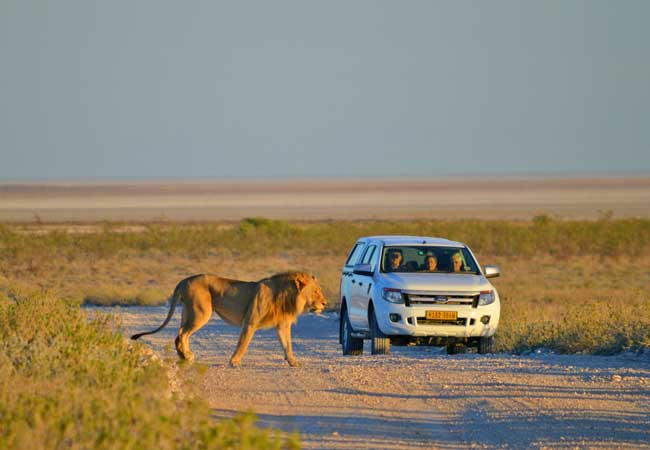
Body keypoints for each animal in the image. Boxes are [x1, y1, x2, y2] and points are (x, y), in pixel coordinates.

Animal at [130, 270, 326, 366]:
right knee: (182, 334)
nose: (325, 303)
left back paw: (184, 355)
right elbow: (243, 343)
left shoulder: (282, 325)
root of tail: (183, 281)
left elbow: (288, 345)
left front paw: (293, 362)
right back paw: (186, 356)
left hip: (189, 312)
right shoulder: (250, 321)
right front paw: (234, 362)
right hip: (201, 312)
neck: (287, 296)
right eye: (316, 291)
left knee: (179, 334)